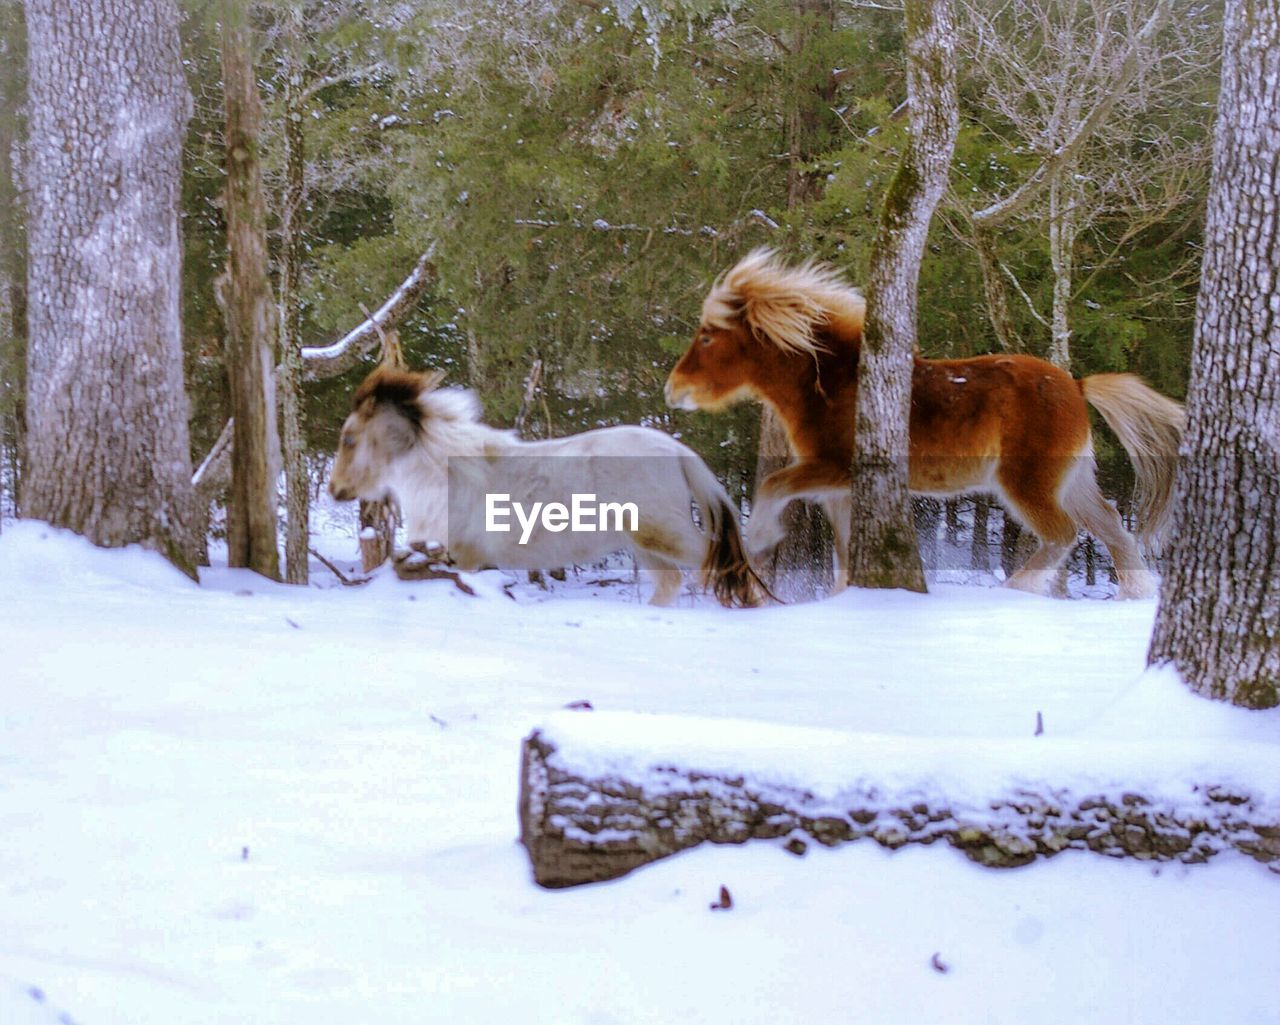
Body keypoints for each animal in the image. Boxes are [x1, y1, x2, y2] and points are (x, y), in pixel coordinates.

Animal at [665, 249, 1182, 598]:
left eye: (707, 337)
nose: (673, 390)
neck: (831, 381)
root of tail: (1076, 385)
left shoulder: (835, 469)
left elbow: (772, 487)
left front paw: (756, 542)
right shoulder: (840, 489)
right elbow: (845, 555)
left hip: (1026, 483)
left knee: (1063, 535)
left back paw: (1013, 593)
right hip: (1072, 481)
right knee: (1112, 528)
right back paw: (1133, 596)